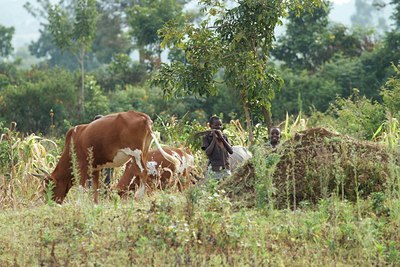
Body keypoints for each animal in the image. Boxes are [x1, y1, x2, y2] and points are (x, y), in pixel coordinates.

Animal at [46, 110, 179, 204]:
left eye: (49, 186)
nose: (49, 202)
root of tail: (141, 115)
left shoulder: (82, 165)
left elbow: (81, 186)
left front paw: (79, 203)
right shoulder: (95, 167)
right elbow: (95, 187)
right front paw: (95, 203)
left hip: (136, 153)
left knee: (143, 171)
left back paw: (139, 196)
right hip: (144, 151)